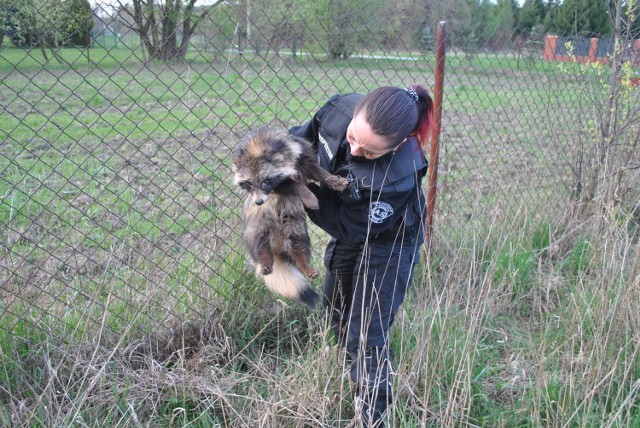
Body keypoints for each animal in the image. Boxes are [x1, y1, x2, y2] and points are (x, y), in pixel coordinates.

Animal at [232, 125, 348, 306]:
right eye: (249, 184)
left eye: (264, 181)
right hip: (258, 224)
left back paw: (304, 265)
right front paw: (308, 195)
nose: (259, 202)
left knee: (299, 245)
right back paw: (265, 259)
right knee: (259, 242)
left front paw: (334, 180)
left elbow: (317, 171)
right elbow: (293, 184)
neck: (259, 146)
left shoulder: (301, 153)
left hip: (295, 226)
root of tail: (277, 247)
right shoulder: (276, 187)